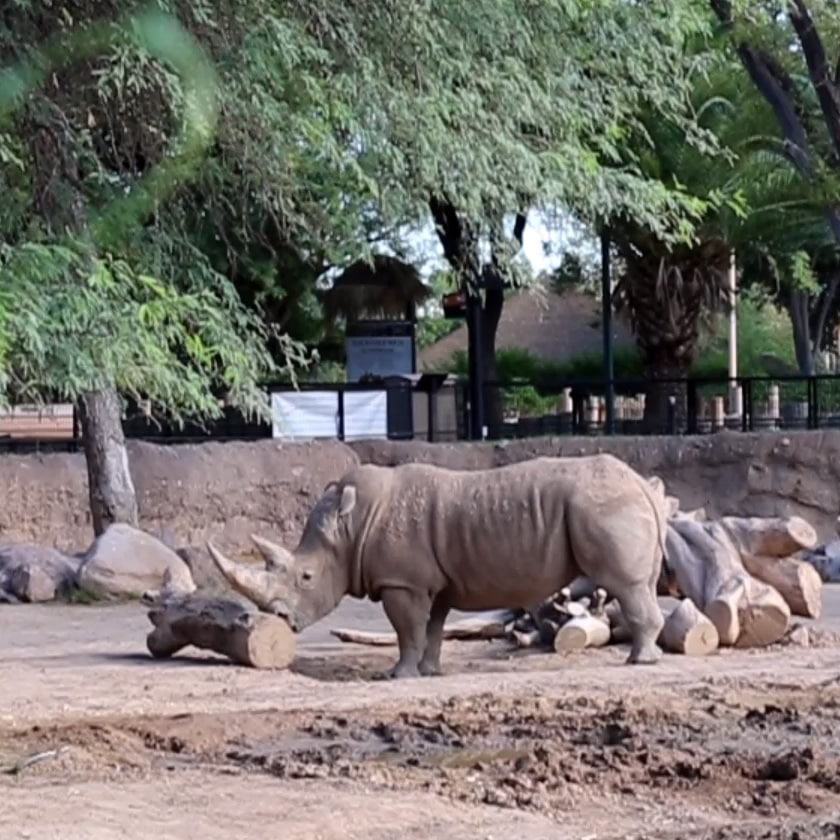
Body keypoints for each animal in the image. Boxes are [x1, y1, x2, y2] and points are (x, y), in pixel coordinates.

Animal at [207, 453, 668, 678]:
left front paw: (398, 676)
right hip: (616, 503)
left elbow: (406, 629)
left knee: (625, 585)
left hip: (605, 506)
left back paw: (639, 662)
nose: (281, 620)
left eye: (306, 577)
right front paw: (429, 672)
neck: (351, 528)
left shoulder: (402, 583)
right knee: (640, 585)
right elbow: (430, 628)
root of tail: (642, 484)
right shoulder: (431, 583)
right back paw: (646, 658)